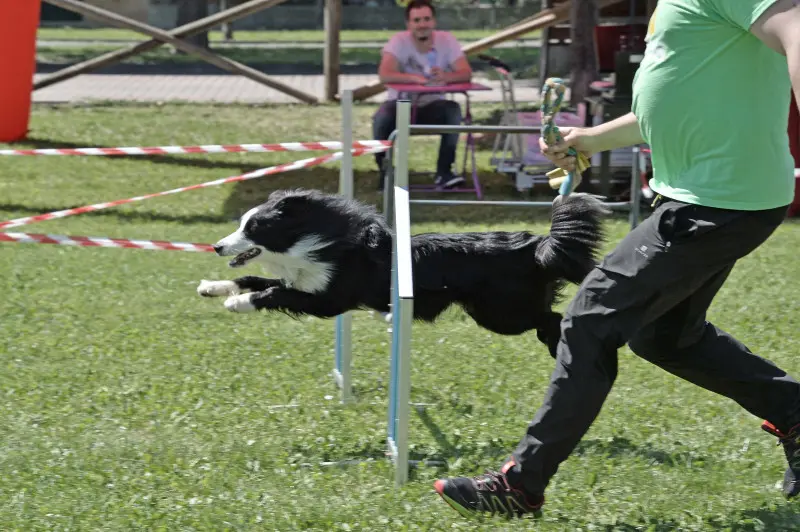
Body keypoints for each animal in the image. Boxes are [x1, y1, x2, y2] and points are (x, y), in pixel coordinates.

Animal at [198, 188, 608, 358]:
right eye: (241, 224)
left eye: (254, 228)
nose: (216, 247)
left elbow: (272, 292)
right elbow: (254, 279)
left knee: (551, 316)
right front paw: (212, 287)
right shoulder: (303, 281)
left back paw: (557, 342)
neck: (317, 240)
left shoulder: (329, 298)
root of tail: (536, 245)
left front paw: (238, 304)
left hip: (500, 313)